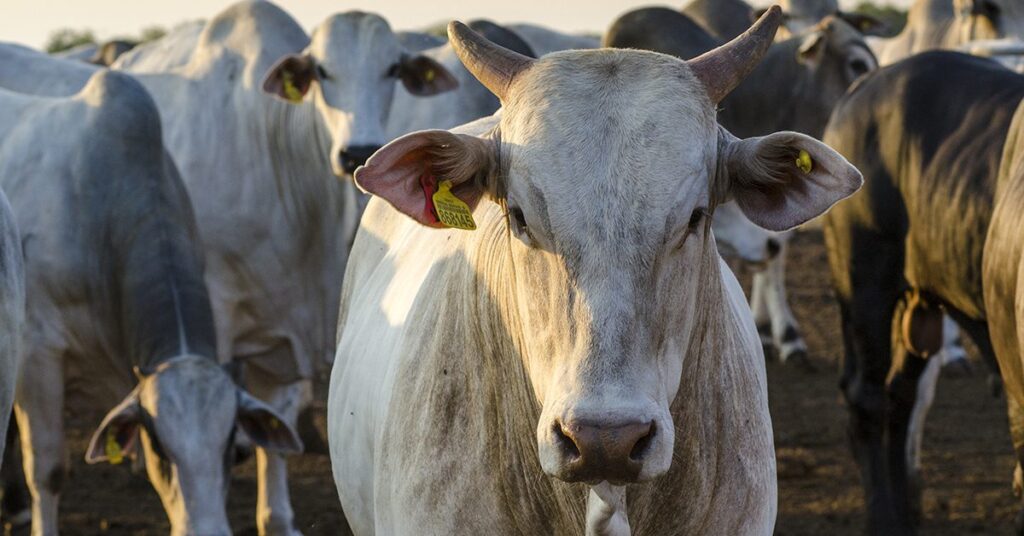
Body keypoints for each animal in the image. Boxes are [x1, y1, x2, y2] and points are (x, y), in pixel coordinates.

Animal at [109, 2, 456, 532]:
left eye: (392, 69)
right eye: (321, 72)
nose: (358, 150)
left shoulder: (283, 338)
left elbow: (275, 425)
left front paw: (275, 515)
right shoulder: (215, 314)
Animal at [819, 51, 1024, 536]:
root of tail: (865, 87)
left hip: (919, 307)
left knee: (901, 396)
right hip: (865, 284)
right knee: (867, 398)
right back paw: (884, 519)